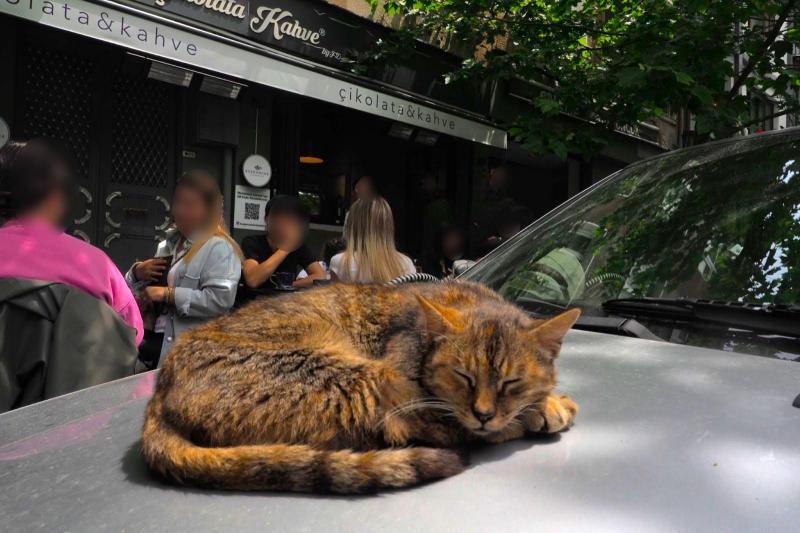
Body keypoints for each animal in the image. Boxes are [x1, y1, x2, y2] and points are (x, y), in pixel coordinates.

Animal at [141, 280, 580, 492]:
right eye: (463, 377)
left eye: (511, 381)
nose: (484, 413)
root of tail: (159, 392)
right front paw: (545, 406)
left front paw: (542, 399)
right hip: (360, 378)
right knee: (427, 430)